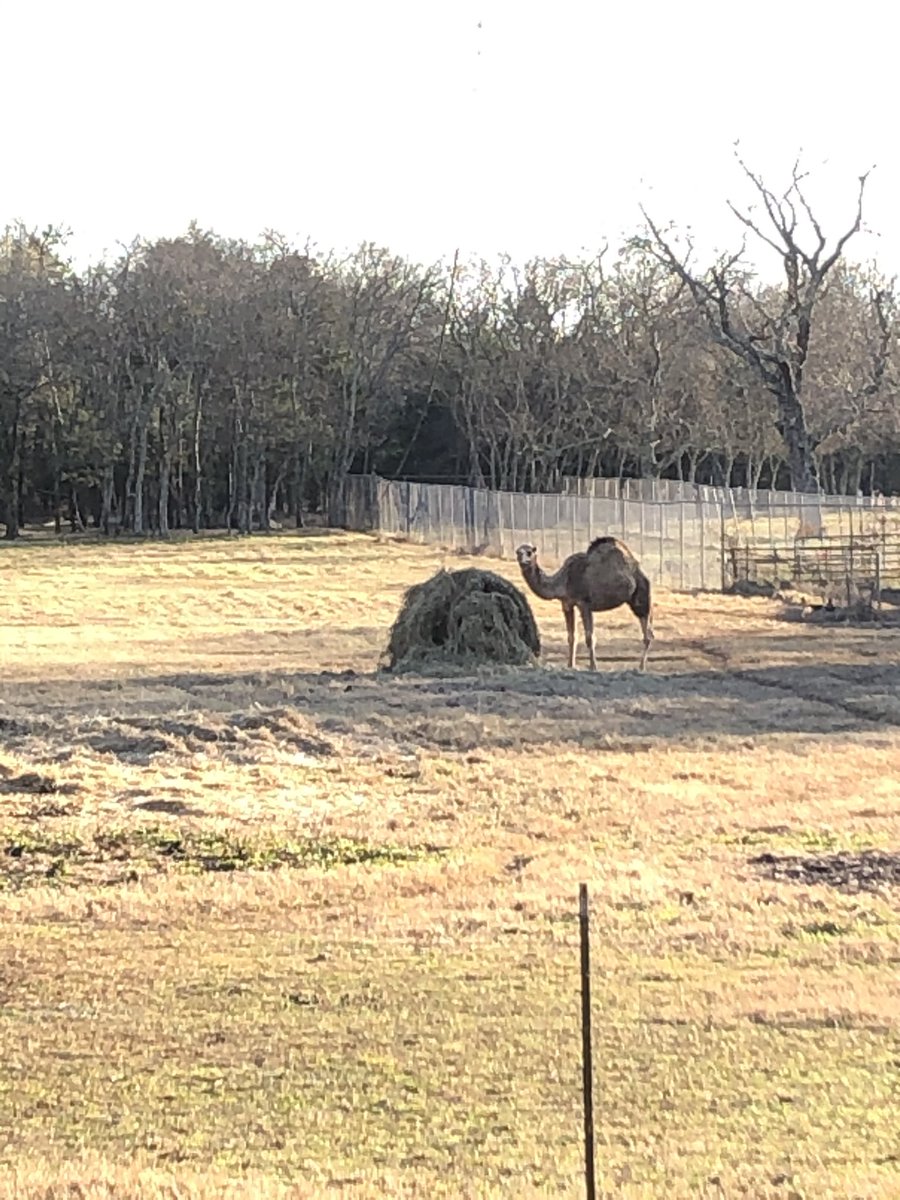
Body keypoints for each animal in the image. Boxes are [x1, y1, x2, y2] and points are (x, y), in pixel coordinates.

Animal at [515, 536, 653, 671]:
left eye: (529, 552)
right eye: (518, 552)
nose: (523, 560)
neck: (563, 581)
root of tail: (640, 570)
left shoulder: (584, 604)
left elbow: (589, 637)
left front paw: (593, 667)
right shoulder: (567, 604)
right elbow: (572, 636)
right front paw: (570, 665)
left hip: (641, 596)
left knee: (648, 634)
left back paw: (641, 667)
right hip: (634, 600)